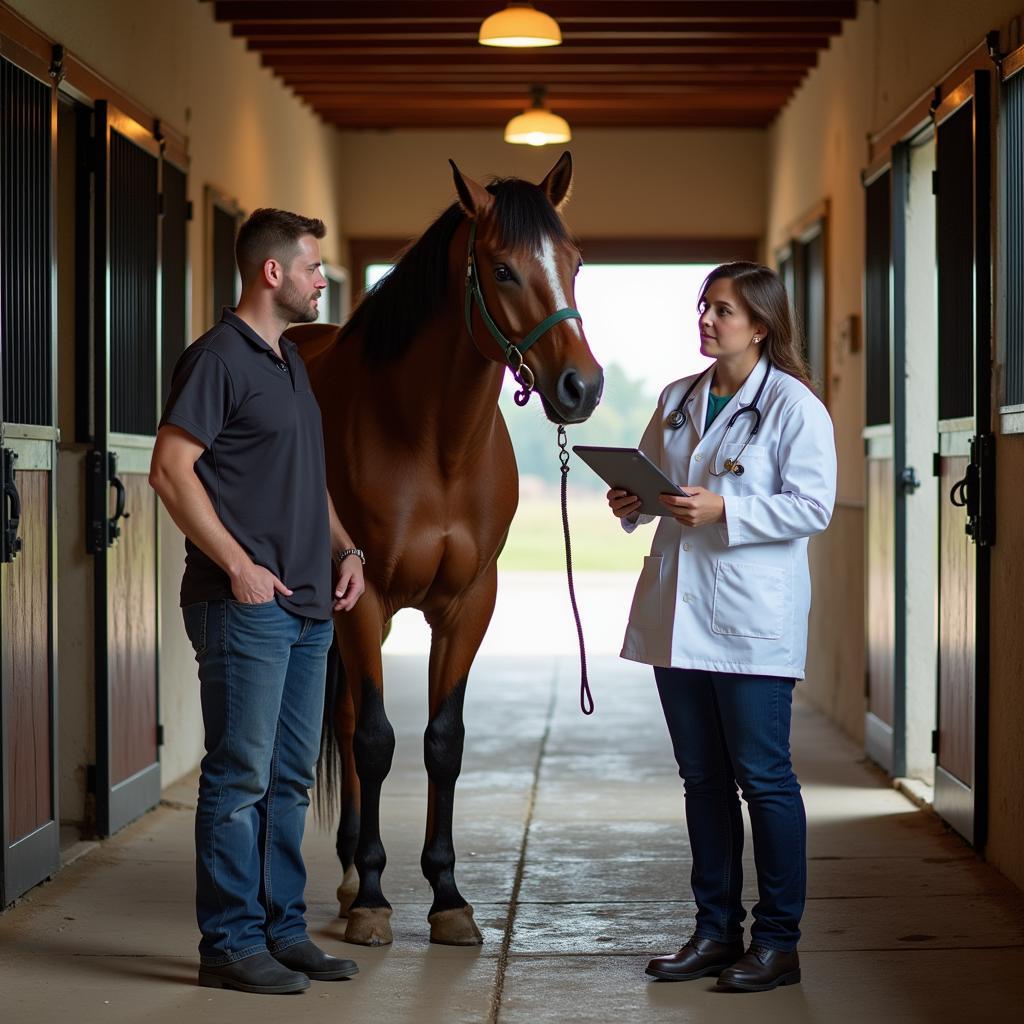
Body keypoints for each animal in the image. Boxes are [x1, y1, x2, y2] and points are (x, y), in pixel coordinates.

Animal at [288, 149, 602, 942]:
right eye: (503, 269)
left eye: (576, 263)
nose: (582, 388)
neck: (433, 444)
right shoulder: (365, 596)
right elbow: (377, 741)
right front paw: (377, 901)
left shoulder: (467, 603)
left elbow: (442, 742)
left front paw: (448, 896)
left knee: (345, 715)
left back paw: (347, 873)